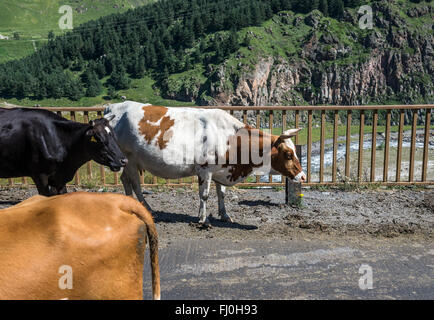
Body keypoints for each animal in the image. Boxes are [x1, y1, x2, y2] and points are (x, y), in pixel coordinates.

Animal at [104, 102, 306, 225]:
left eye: (295, 152)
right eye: (288, 154)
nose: (303, 176)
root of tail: (113, 107)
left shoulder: (221, 170)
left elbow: (221, 194)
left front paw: (225, 215)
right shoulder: (204, 170)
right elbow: (205, 195)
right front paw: (203, 219)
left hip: (129, 162)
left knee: (125, 180)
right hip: (130, 159)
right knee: (134, 183)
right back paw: (146, 208)